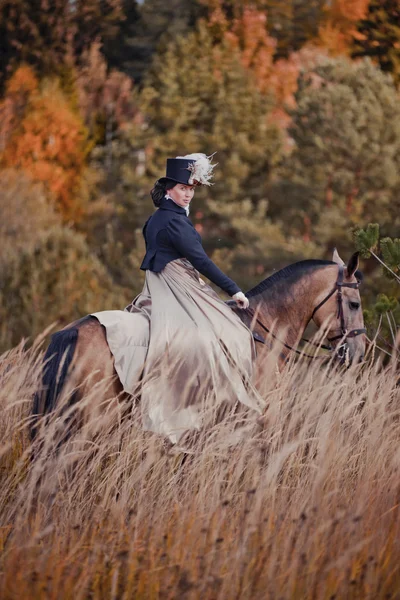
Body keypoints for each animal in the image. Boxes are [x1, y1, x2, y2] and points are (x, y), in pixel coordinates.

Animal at [30, 248, 366, 440]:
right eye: (354, 304)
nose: (358, 354)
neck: (265, 326)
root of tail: (72, 332)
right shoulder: (255, 417)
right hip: (92, 421)